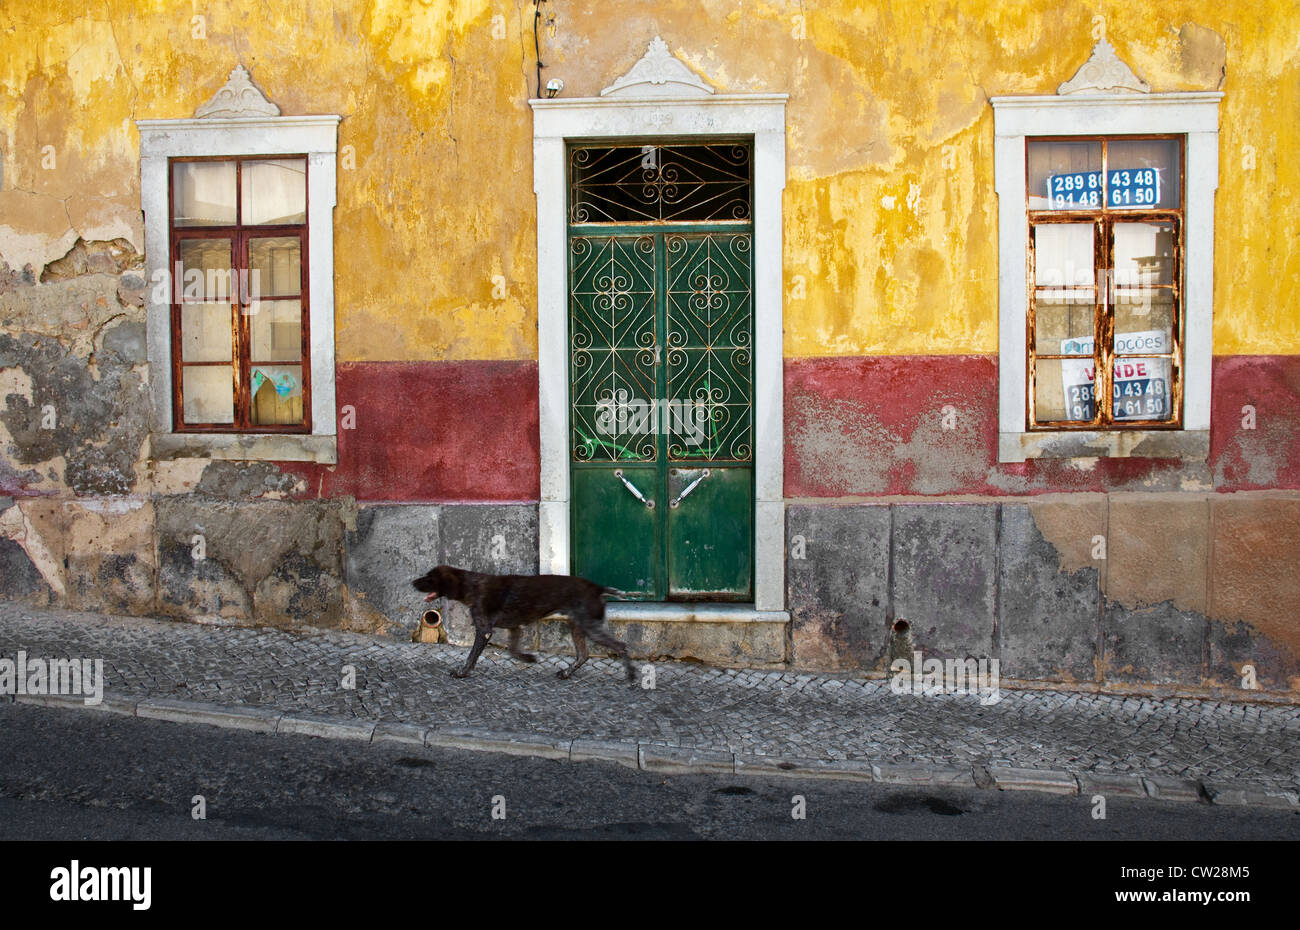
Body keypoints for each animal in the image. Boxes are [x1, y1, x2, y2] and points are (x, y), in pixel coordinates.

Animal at [410, 559, 634, 681]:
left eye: (429, 577)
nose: (412, 582)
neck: (471, 586)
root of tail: (598, 588)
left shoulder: (484, 630)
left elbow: (471, 657)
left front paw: (462, 673)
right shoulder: (514, 628)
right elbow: (513, 650)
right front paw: (528, 658)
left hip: (591, 627)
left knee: (621, 646)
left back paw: (631, 676)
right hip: (577, 625)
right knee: (583, 655)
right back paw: (566, 673)